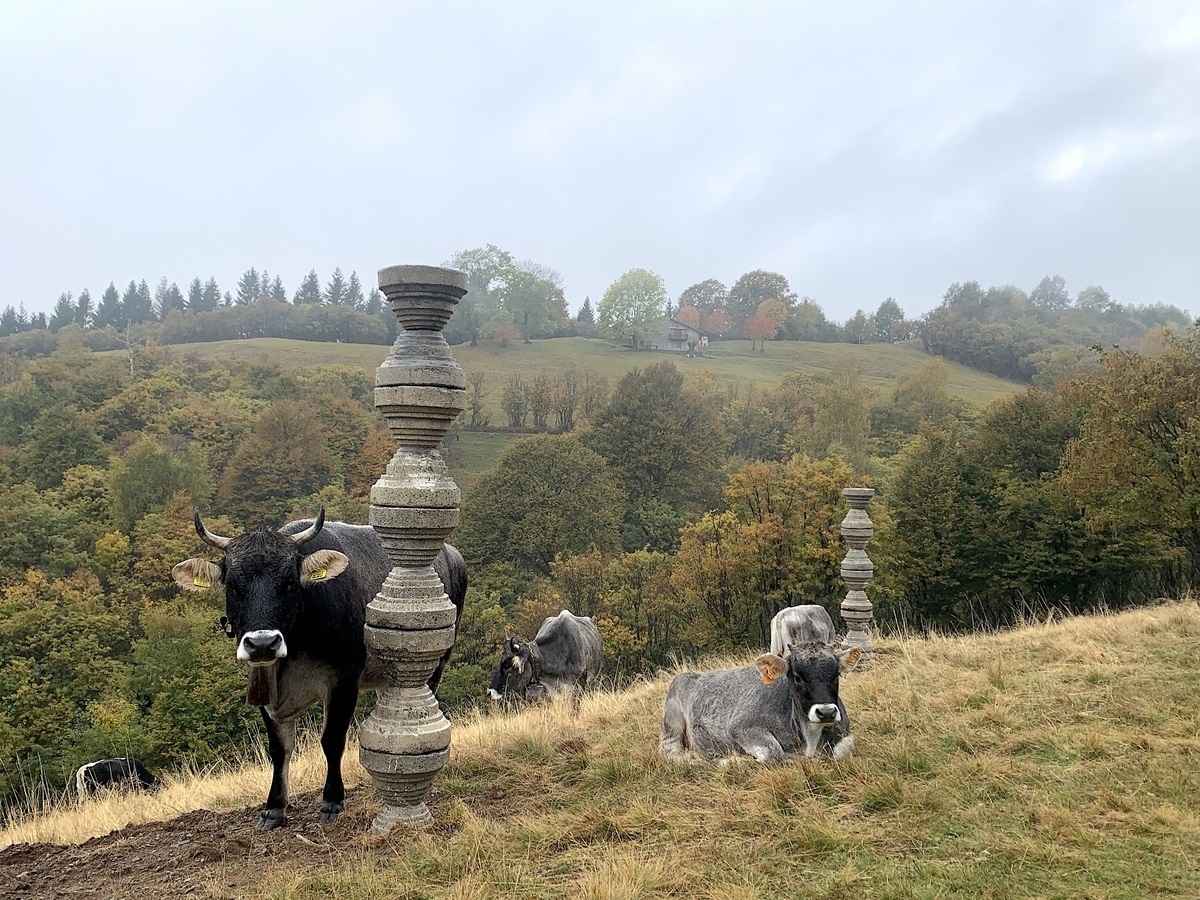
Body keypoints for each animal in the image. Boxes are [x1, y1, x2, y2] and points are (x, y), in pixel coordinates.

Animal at [171, 508, 465, 830]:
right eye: (233, 586)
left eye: (289, 583)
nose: (262, 643)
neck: (295, 649)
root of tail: (451, 554)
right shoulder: (264, 686)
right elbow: (279, 749)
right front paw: (273, 807)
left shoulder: (343, 681)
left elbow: (332, 739)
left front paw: (332, 800)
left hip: (437, 661)